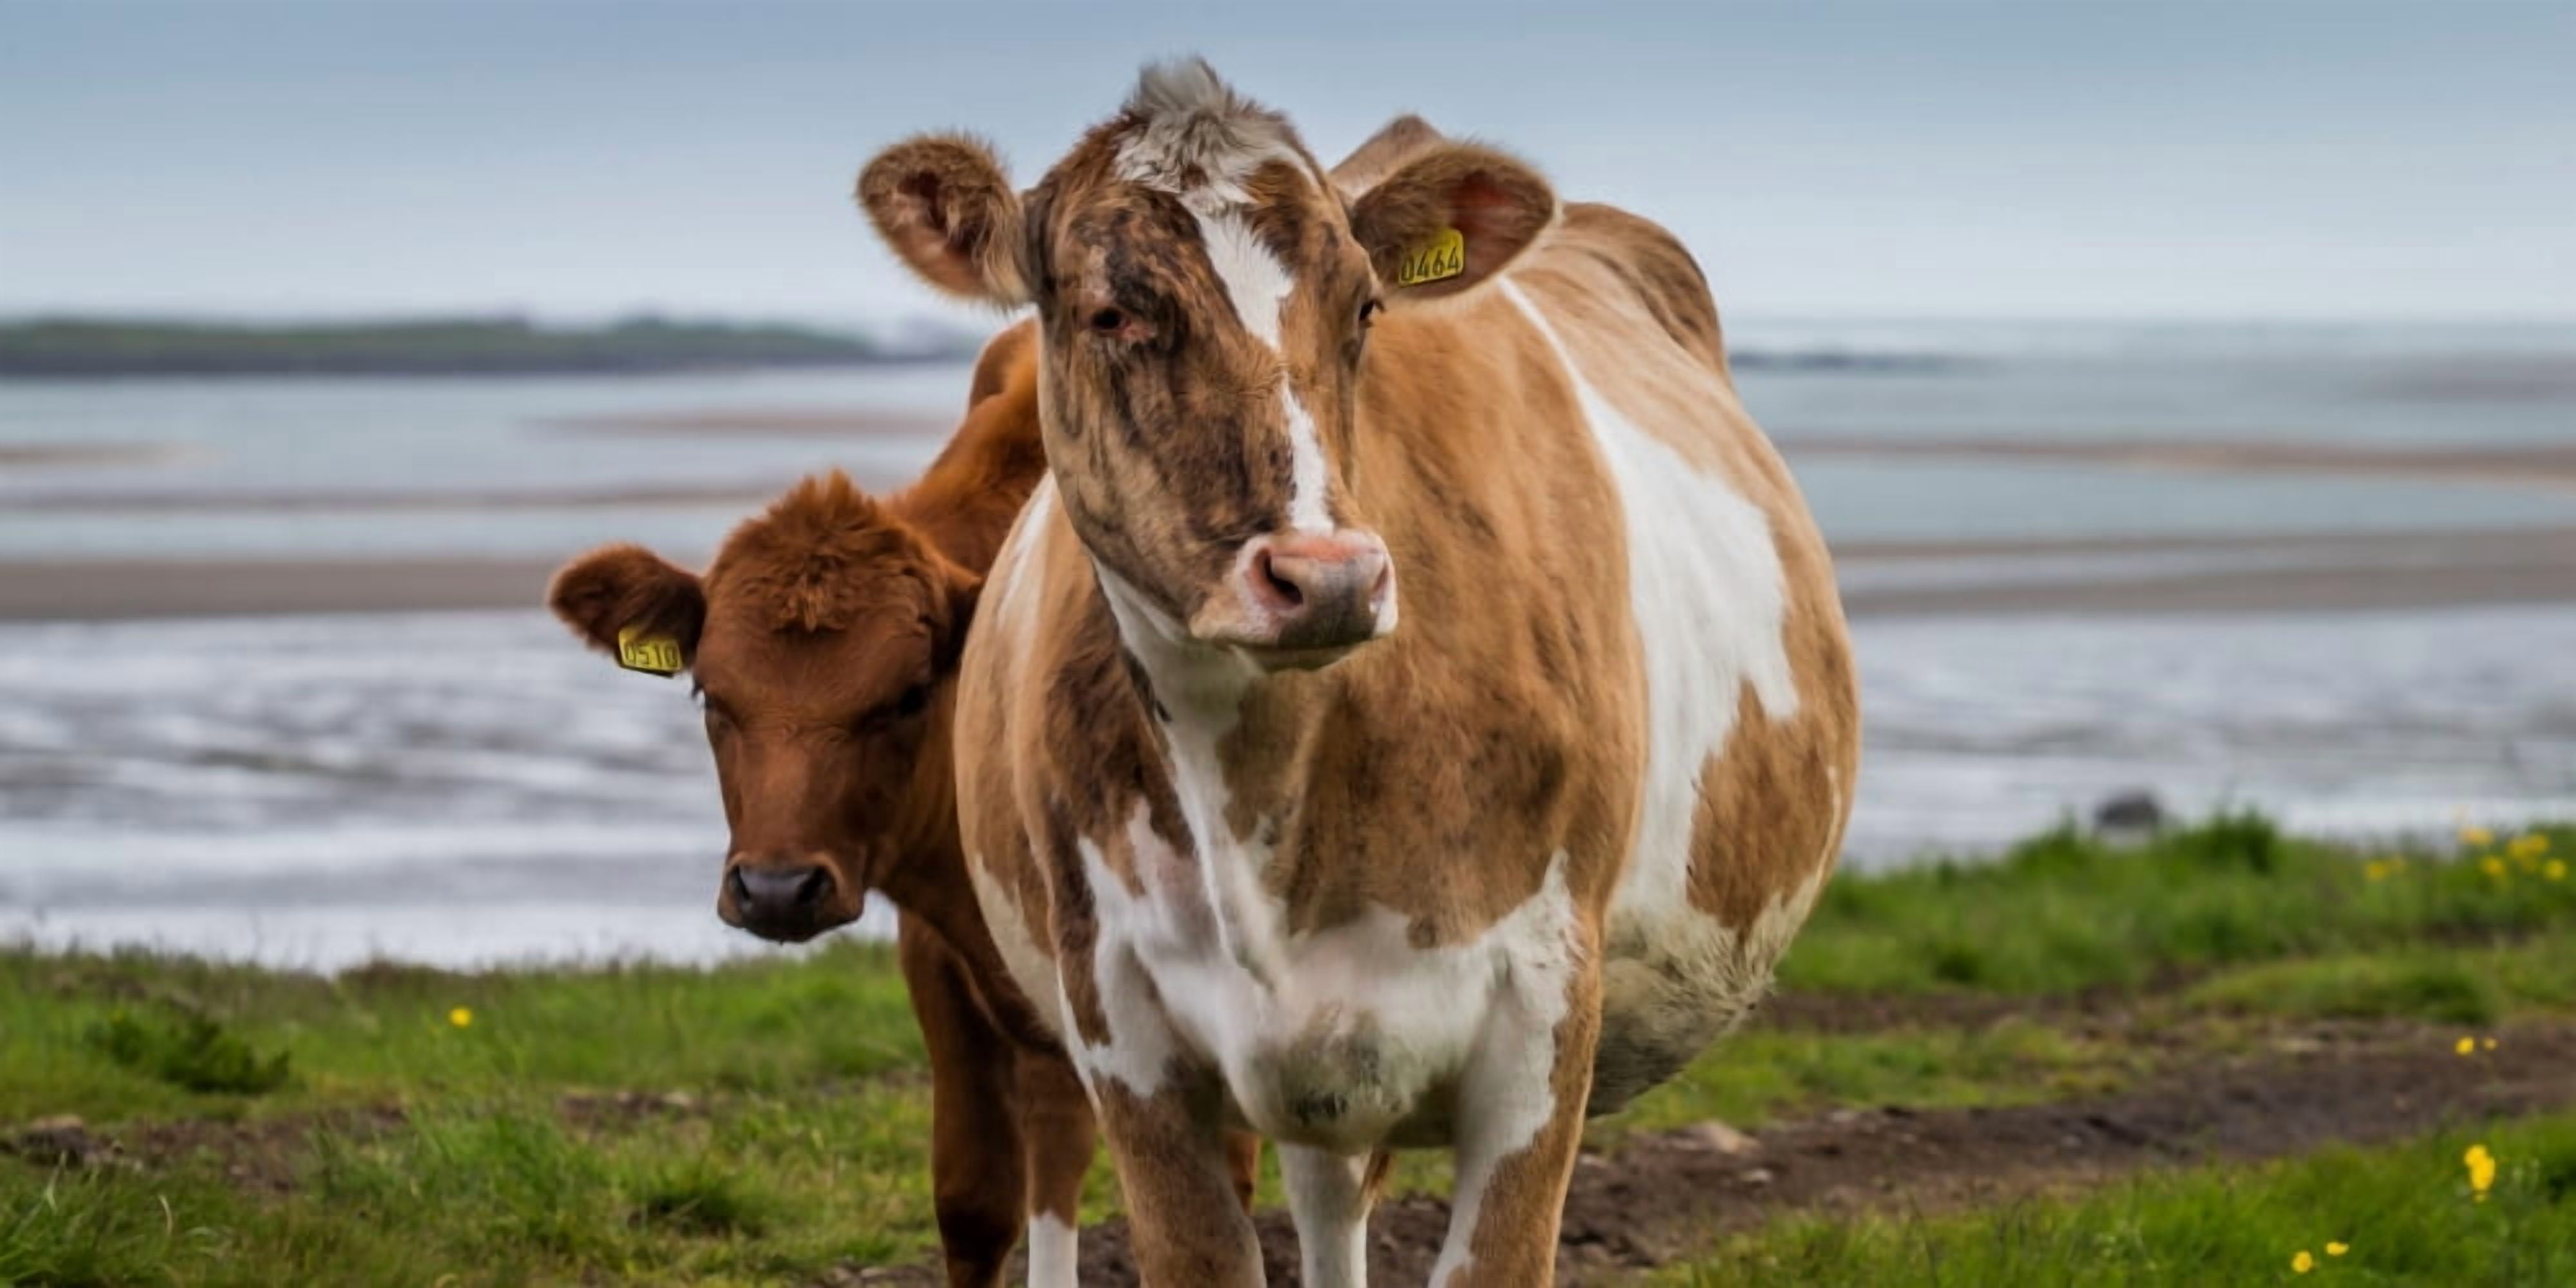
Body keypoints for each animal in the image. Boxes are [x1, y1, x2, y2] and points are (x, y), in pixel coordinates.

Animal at [858, 60, 1860, 1286]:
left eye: (1367, 309)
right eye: (1110, 311)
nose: (1326, 577)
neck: (1268, 801)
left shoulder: (1542, 1024)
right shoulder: (1123, 1035)